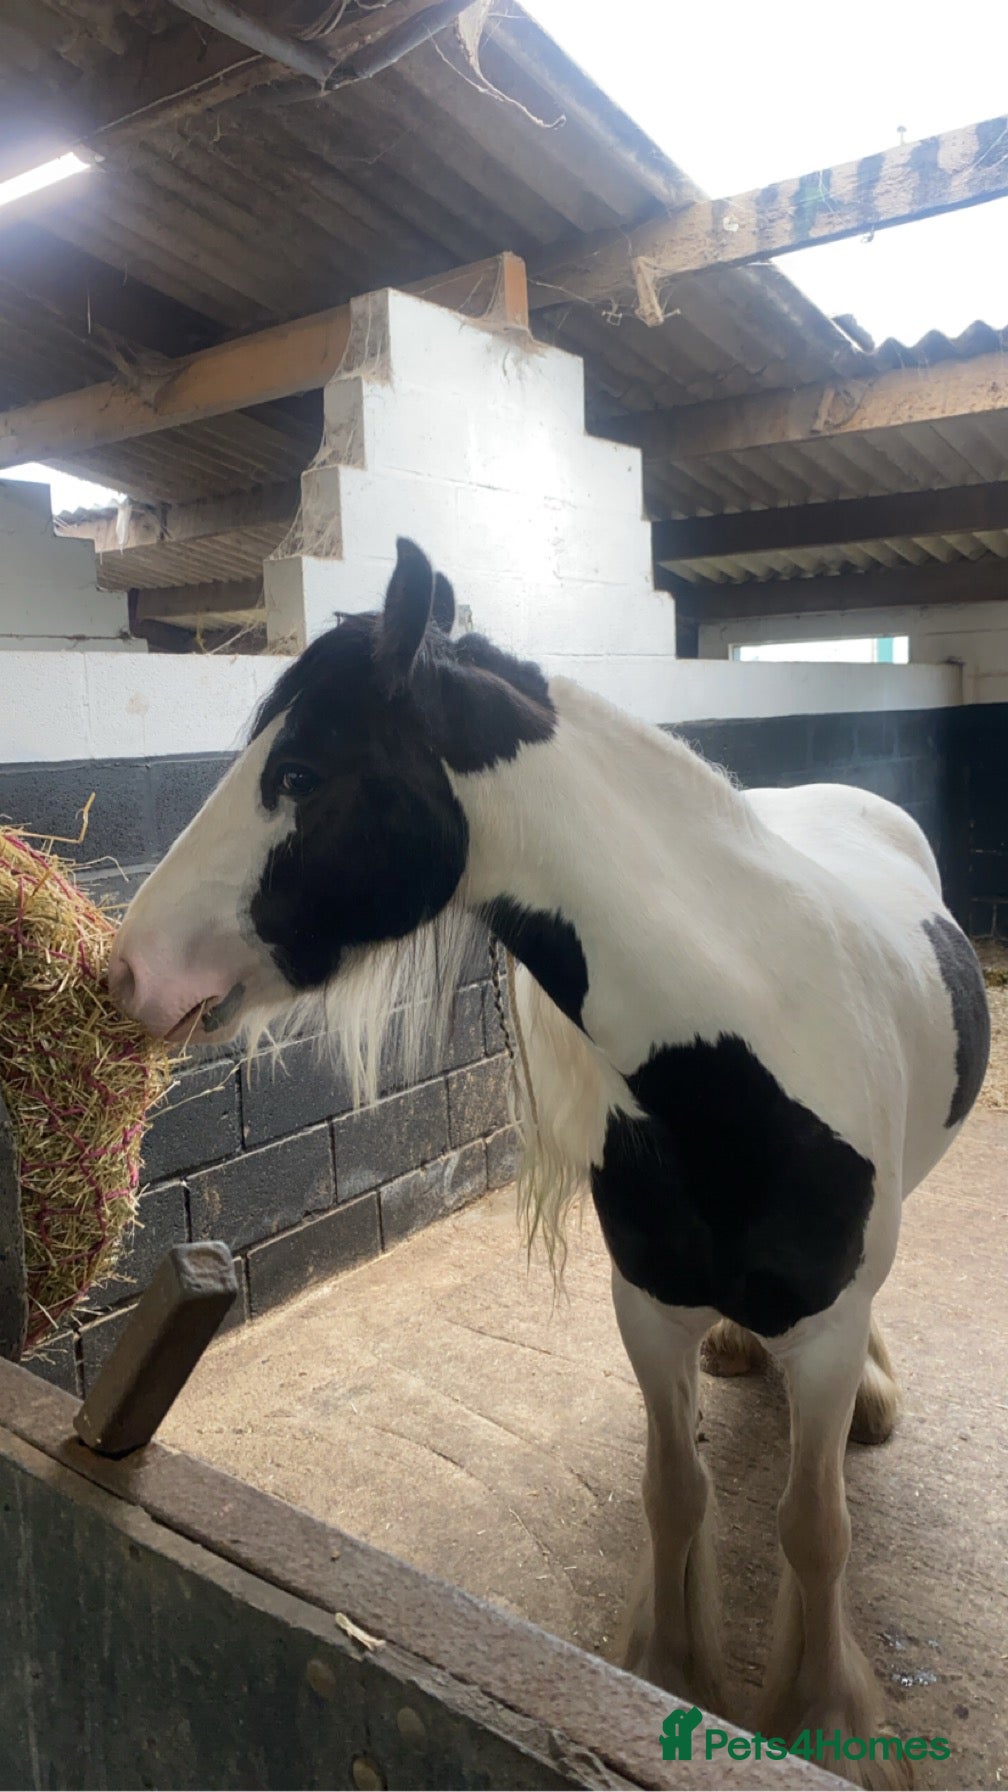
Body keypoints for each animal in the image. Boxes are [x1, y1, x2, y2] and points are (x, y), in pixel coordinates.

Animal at [109, 538, 989, 1786]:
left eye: (302, 771)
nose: (125, 970)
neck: (741, 1058)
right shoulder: (647, 1309)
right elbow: (675, 1493)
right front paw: (673, 1672)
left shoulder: (819, 1331)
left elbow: (815, 1529)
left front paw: (828, 1720)